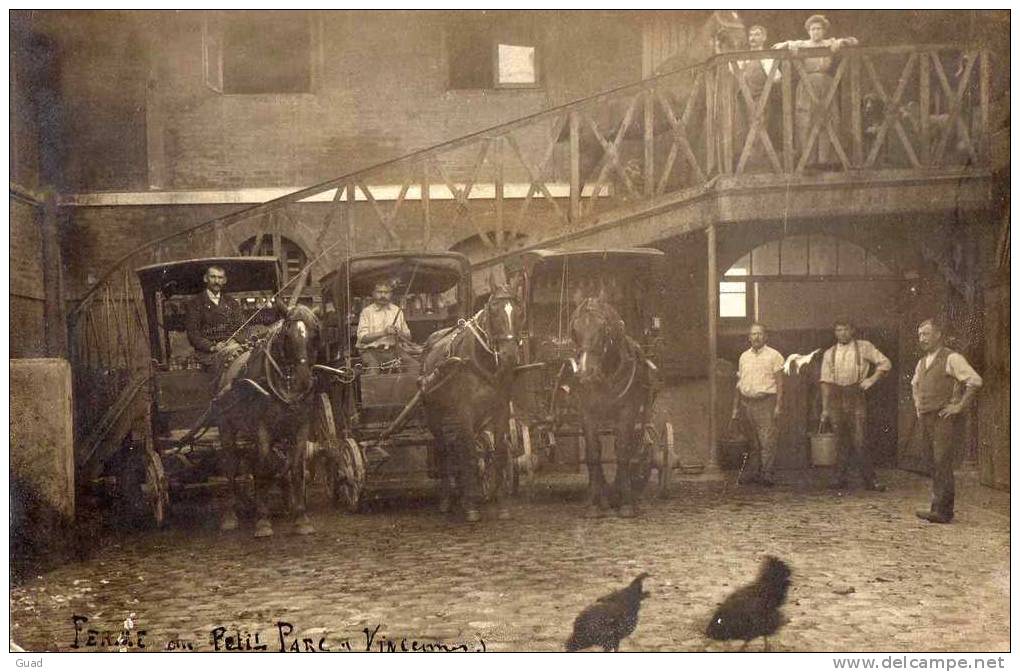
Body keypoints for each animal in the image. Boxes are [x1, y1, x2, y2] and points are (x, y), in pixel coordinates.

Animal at [217, 305, 320, 542]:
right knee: (231, 465)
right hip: (227, 429)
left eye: (315, 333)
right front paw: (262, 521)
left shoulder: (301, 428)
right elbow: (264, 466)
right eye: (287, 335)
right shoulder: (261, 429)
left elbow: (295, 467)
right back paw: (230, 516)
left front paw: (300, 518)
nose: (304, 381)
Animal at [418, 281, 522, 522]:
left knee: (459, 447)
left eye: (519, 311)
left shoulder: (500, 410)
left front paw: (501, 504)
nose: (510, 356)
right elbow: (471, 456)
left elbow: (499, 452)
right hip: (435, 414)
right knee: (444, 450)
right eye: (493, 310)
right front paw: (472, 507)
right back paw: (447, 500)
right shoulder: (465, 411)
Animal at [571, 295, 656, 520]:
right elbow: (593, 453)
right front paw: (594, 503)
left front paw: (625, 503)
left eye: (603, 329)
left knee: (630, 447)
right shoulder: (587, 413)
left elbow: (623, 452)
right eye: (575, 329)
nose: (585, 372)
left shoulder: (627, 413)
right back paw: (602, 495)